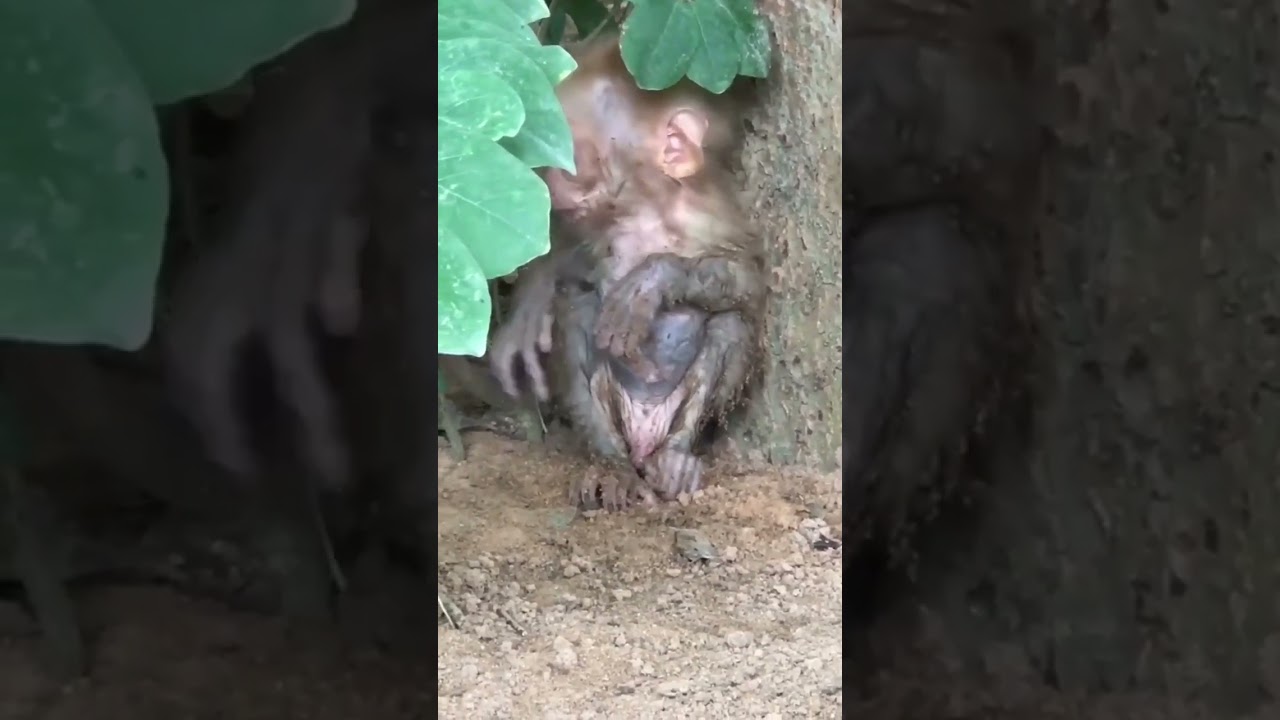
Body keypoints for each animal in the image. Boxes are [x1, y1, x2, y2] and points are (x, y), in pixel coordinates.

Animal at [490, 36, 767, 511]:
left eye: (569, 156)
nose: (549, 181)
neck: (647, 208)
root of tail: (642, 435)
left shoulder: (711, 214)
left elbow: (747, 282)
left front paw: (655, 279)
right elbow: (561, 254)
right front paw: (529, 310)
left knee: (730, 326)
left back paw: (675, 457)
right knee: (577, 311)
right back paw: (610, 463)